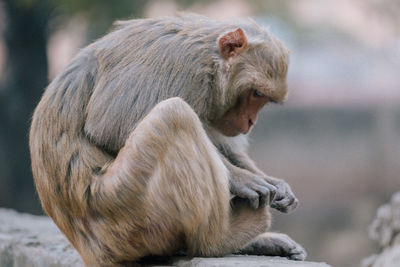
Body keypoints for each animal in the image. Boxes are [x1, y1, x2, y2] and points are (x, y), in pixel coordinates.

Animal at [28, 13, 306, 266]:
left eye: (263, 98)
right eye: (256, 93)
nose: (250, 122)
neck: (210, 61)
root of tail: (90, 251)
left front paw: (276, 184)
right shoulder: (180, 64)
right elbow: (111, 127)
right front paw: (242, 178)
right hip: (123, 208)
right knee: (173, 114)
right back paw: (221, 239)